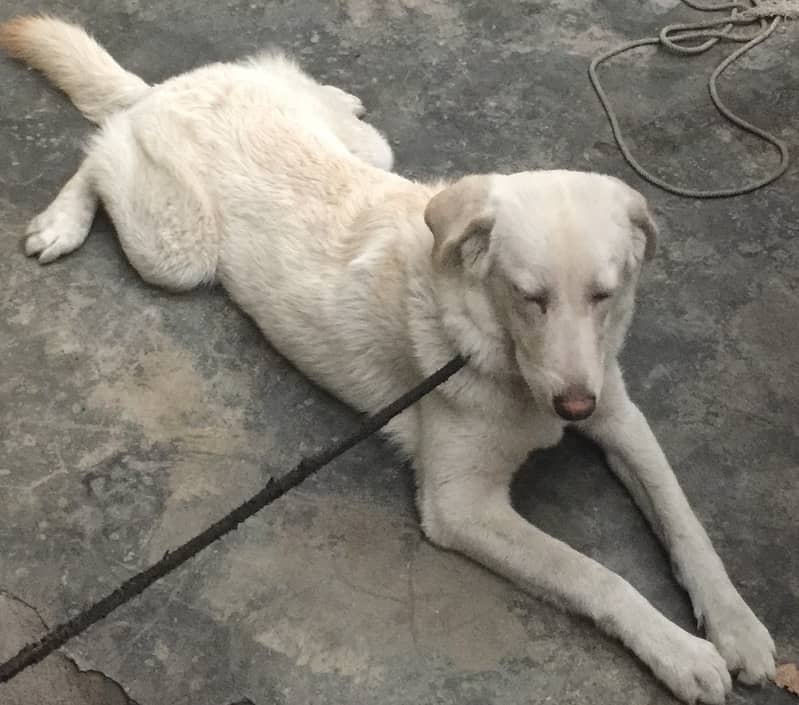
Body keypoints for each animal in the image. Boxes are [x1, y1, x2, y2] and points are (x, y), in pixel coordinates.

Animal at [0, 16, 776, 704]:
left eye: (604, 294)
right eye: (529, 297)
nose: (572, 408)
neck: (496, 352)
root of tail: (169, 88)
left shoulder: (620, 417)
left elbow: (686, 524)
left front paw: (737, 626)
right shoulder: (462, 506)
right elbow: (594, 574)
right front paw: (680, 653)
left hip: (369, 151)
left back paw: (333, 93)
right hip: (174, 250)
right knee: (99, 152)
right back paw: (61, 222)